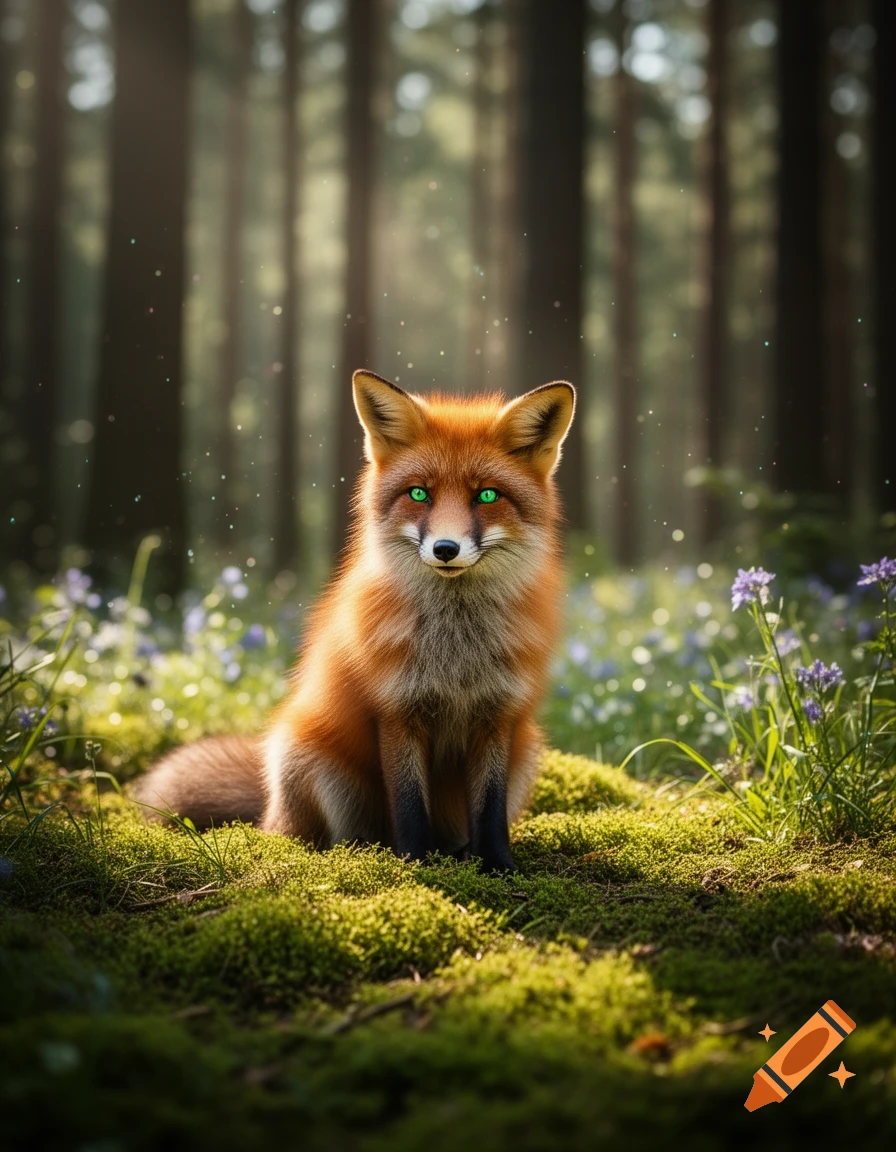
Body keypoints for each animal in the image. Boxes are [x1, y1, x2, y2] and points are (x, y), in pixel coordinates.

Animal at [135, 369, 575, 872]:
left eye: (487, 495)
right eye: (419, 493)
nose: (445, 549)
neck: (455, 652)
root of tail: (269, 810)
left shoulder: (498, 715)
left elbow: (491, 809)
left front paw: (498, 867)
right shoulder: (396, 711)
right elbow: (409, 804)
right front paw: (412, 864)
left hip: (528, 750)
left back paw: (459, 854)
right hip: (309, 760)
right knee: (325, 836)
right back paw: (366, 852)